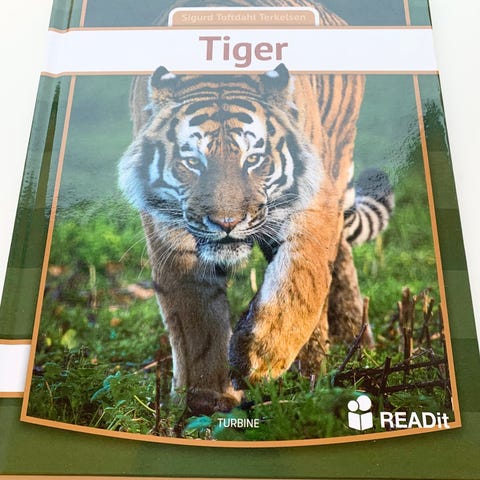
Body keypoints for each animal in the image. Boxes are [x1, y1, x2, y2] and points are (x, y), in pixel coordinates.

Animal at [119, 0, 393, 415]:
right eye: (192, 162)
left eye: (254, 159)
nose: (226, 222)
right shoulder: (171, 235)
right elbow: (195, 317)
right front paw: (207, 399)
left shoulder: (312, 211)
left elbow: (299, 285)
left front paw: (258, 359)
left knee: (334, 266)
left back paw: (332, 357)